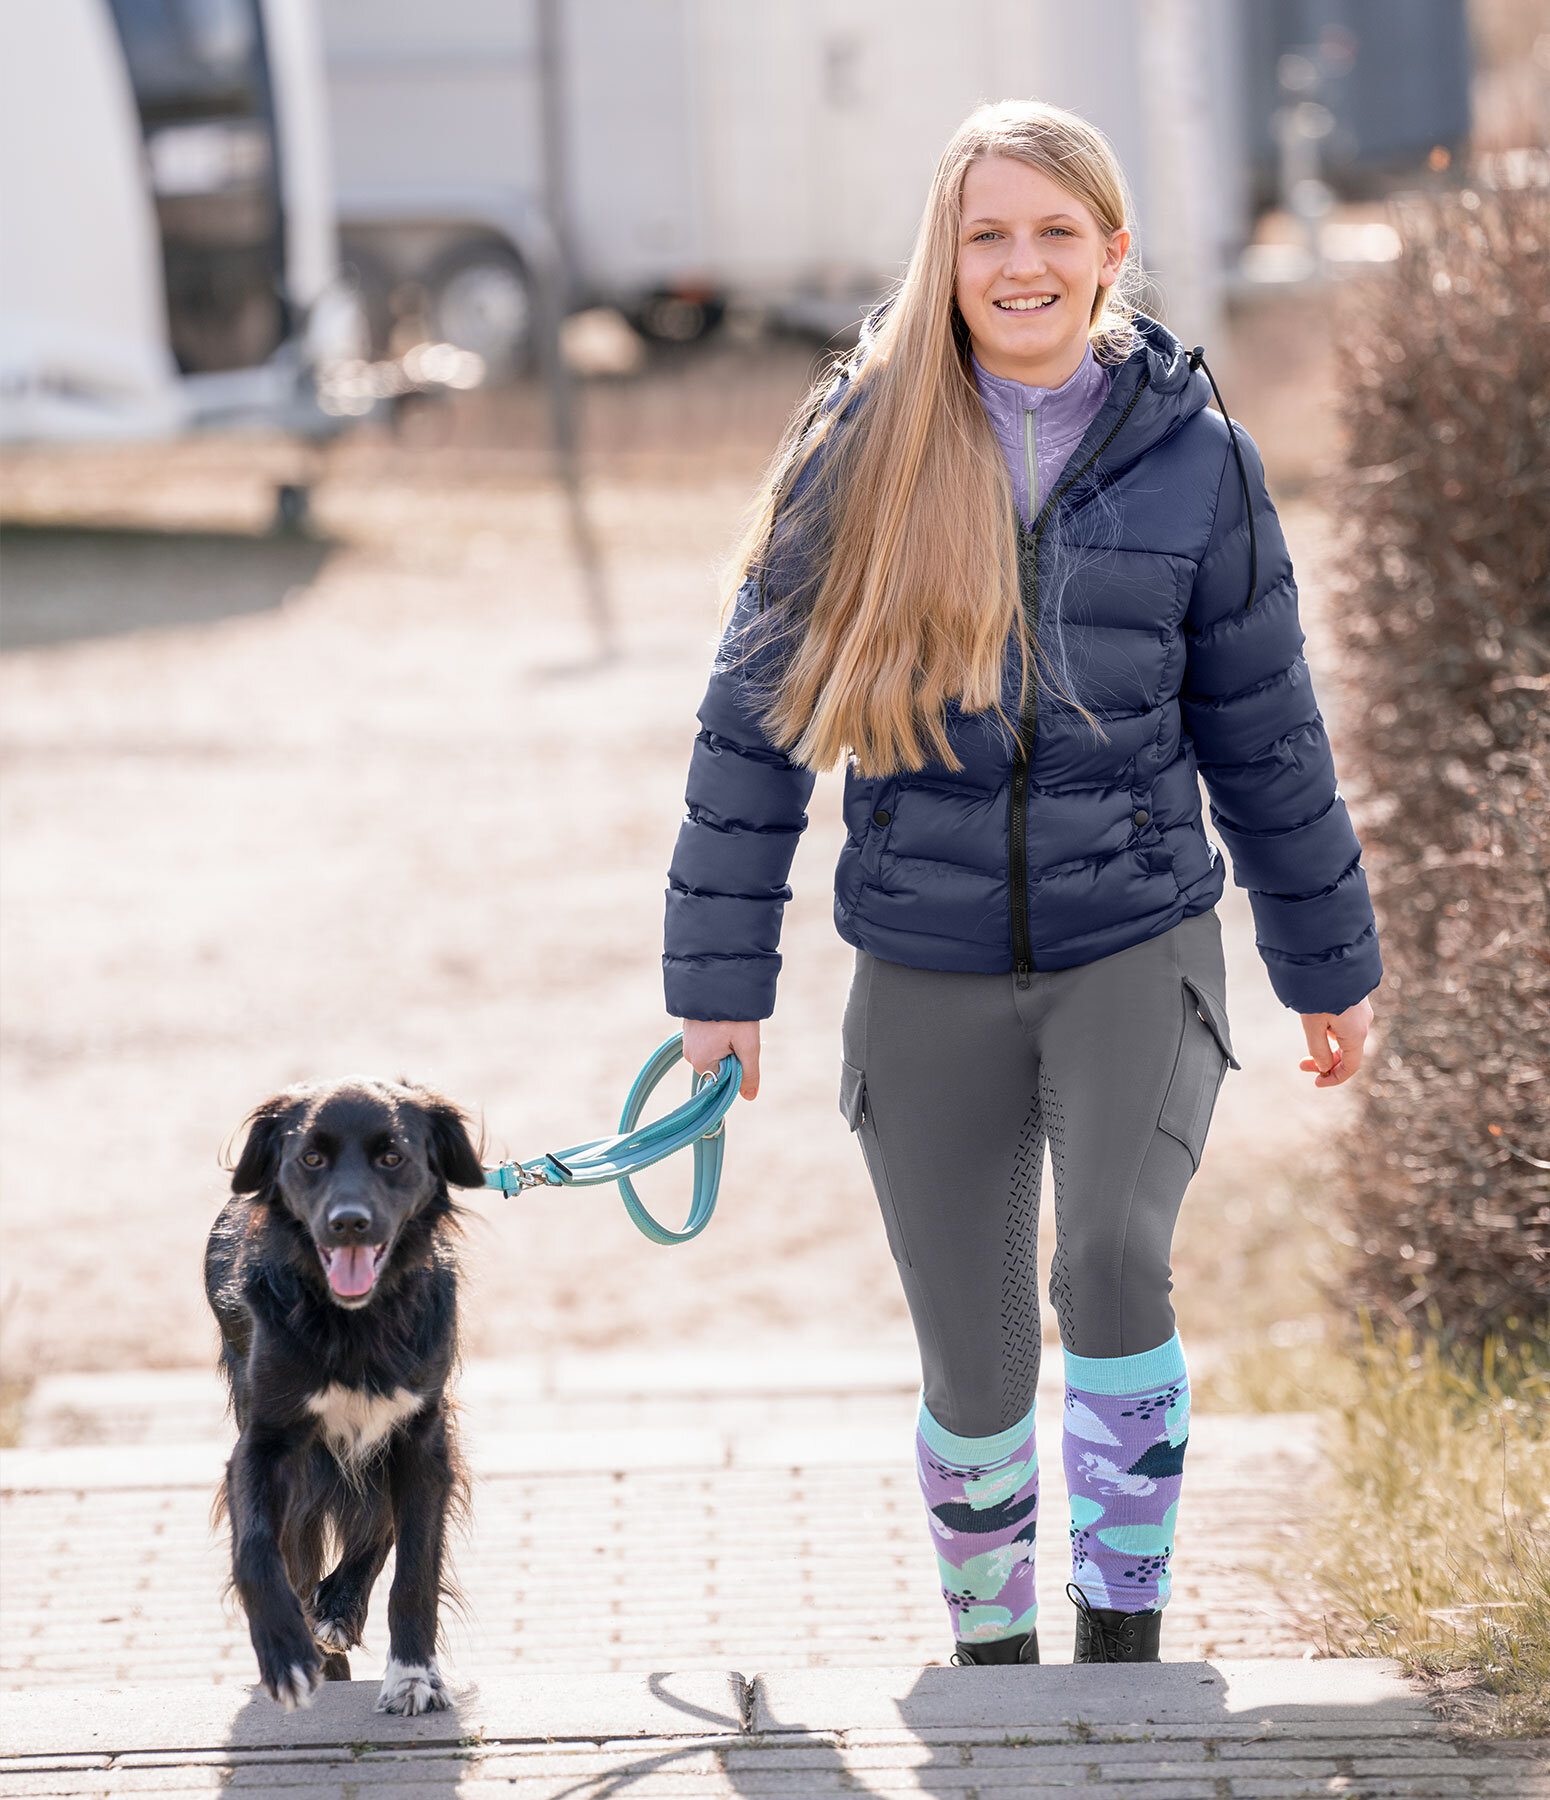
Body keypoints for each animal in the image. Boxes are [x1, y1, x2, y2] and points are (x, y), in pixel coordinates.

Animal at [205, 1072, 482, 1706]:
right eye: (310, 1158)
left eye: (392, 1156)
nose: (349, 1222)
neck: (354, 1320)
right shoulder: (265, 1441)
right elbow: (257, 1546)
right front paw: (285, 1653)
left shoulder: (422, 1434)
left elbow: (415, 1564)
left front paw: (413, 1674)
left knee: (378, 1525)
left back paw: (339, 1609)